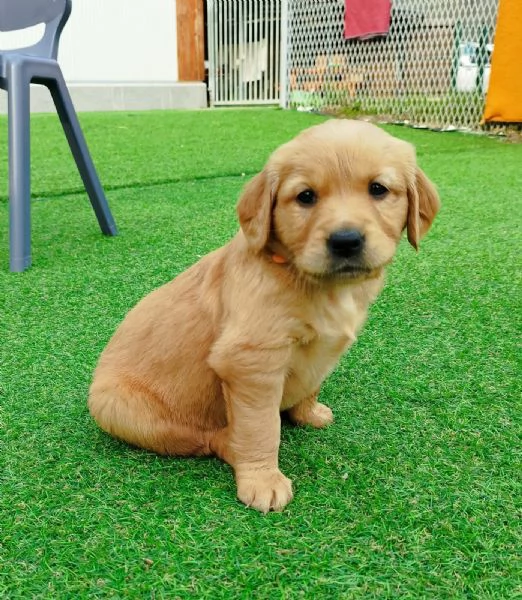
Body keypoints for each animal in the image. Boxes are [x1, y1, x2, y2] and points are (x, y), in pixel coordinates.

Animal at [88, 119, 438, 512]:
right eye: (305, 196)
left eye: (378, 189)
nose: (346, 240)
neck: (311, 282)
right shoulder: (251, 362)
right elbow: (261, 428)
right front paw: (262, 479)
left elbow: (312, 382)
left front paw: (308, 413)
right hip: (121, 408)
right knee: (205, 439)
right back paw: (231, 447)